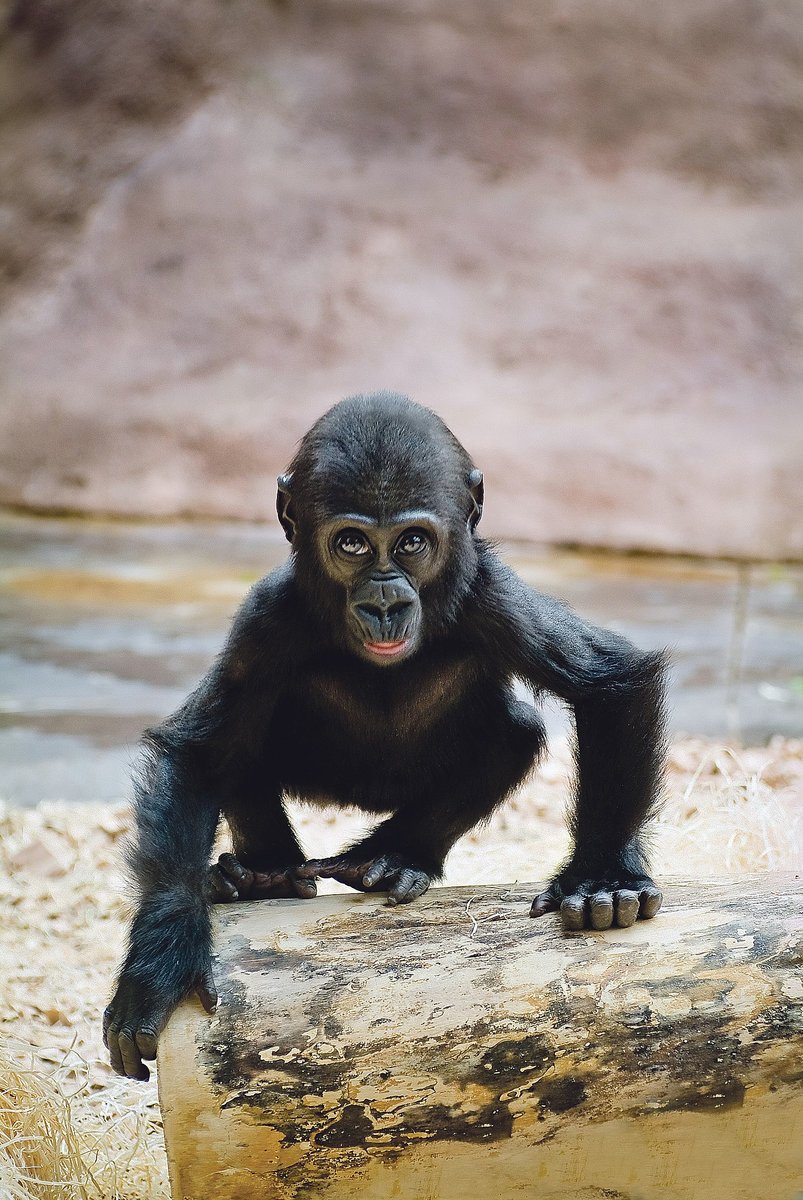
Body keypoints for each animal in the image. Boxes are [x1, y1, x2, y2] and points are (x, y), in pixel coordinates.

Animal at [105, 391, 662, 1080]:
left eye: (413, 542)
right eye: (351, 543)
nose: (385, 601)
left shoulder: (491, 597)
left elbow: (608, 683)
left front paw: (603, 878)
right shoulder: (265, 617)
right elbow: (201, 756)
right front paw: (161, 960)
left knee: (514, 735)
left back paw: (391, 856)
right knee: (242, 749)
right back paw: (263, 876)